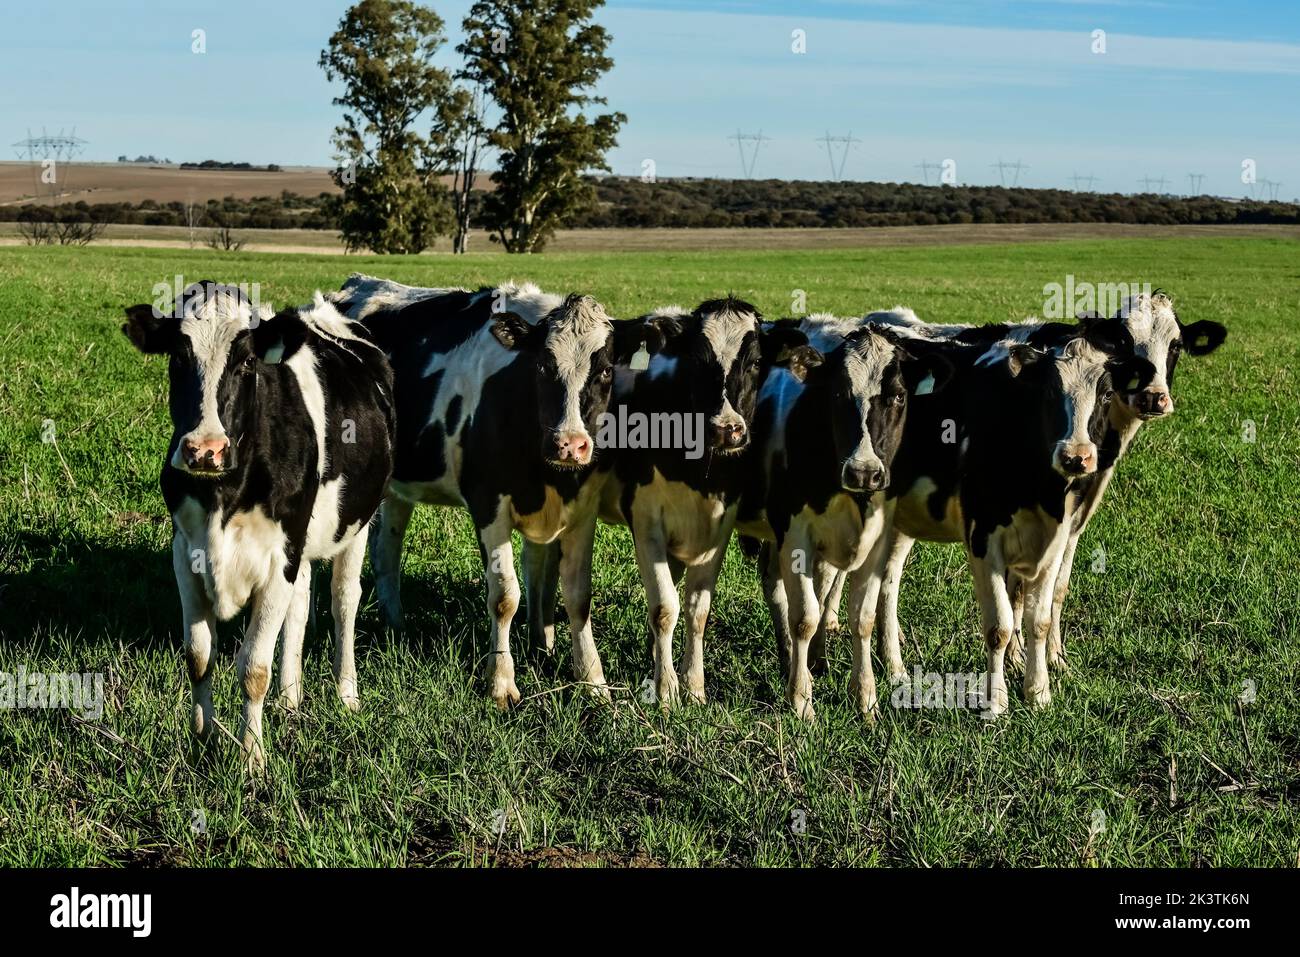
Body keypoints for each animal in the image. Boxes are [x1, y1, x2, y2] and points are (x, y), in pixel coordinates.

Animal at [122, 281, 395, 770]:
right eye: (177, 356)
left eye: (247, 360)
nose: (204, 449)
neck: (223, 494)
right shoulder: (185, 554)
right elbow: (198, 655)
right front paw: (202, 738)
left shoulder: (278, 559)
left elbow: (252, 668)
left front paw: (252, 759)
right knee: (300, 604)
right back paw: (290, 697)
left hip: (357, 523)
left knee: (344, 599)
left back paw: (346, 693)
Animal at [329, 275, 666, 708]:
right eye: (542, 366)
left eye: (606, 370)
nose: (570, 444)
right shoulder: (488, 502)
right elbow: (505, 596)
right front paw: (501, 683)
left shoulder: (582, 509)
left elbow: (578, 597)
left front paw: (594, 682)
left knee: (386, 548)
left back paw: (396, 624)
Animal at [735, 316, 953, 719]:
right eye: (836, 395)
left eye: (898, 396)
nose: (863, 472)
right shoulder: (795, 535)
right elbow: (805, 617)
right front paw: (801, 701)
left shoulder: (877, 539)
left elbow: (862, 617)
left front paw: (865, 699)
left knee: (773, 581)